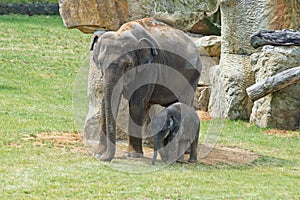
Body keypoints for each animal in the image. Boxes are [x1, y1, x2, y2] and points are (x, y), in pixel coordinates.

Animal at [91, 18, 202, 162]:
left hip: (192, 75)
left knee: (184, 102)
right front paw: (97, 154)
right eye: (100, 63)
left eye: (128, 65)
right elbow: (105, 101)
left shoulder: (149, 68)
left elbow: (136, 103)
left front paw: (133, 155)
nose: (104, 158)